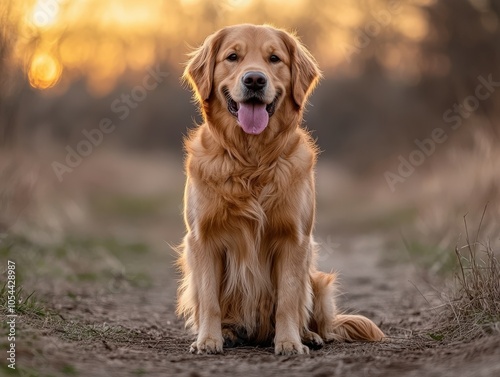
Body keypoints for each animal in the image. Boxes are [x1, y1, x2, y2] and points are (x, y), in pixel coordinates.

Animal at [176, 25, 382, 354]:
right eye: (232, 57)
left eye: (274, 58)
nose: (254, 80)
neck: (251, 159)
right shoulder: (203, 238)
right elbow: (208, 299)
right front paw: (208, 339)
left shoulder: (294, 239)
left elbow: (287, 300)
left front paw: (288, 342)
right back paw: (229, 332)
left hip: (318, 279)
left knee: (313, 316)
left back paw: (308, 335)